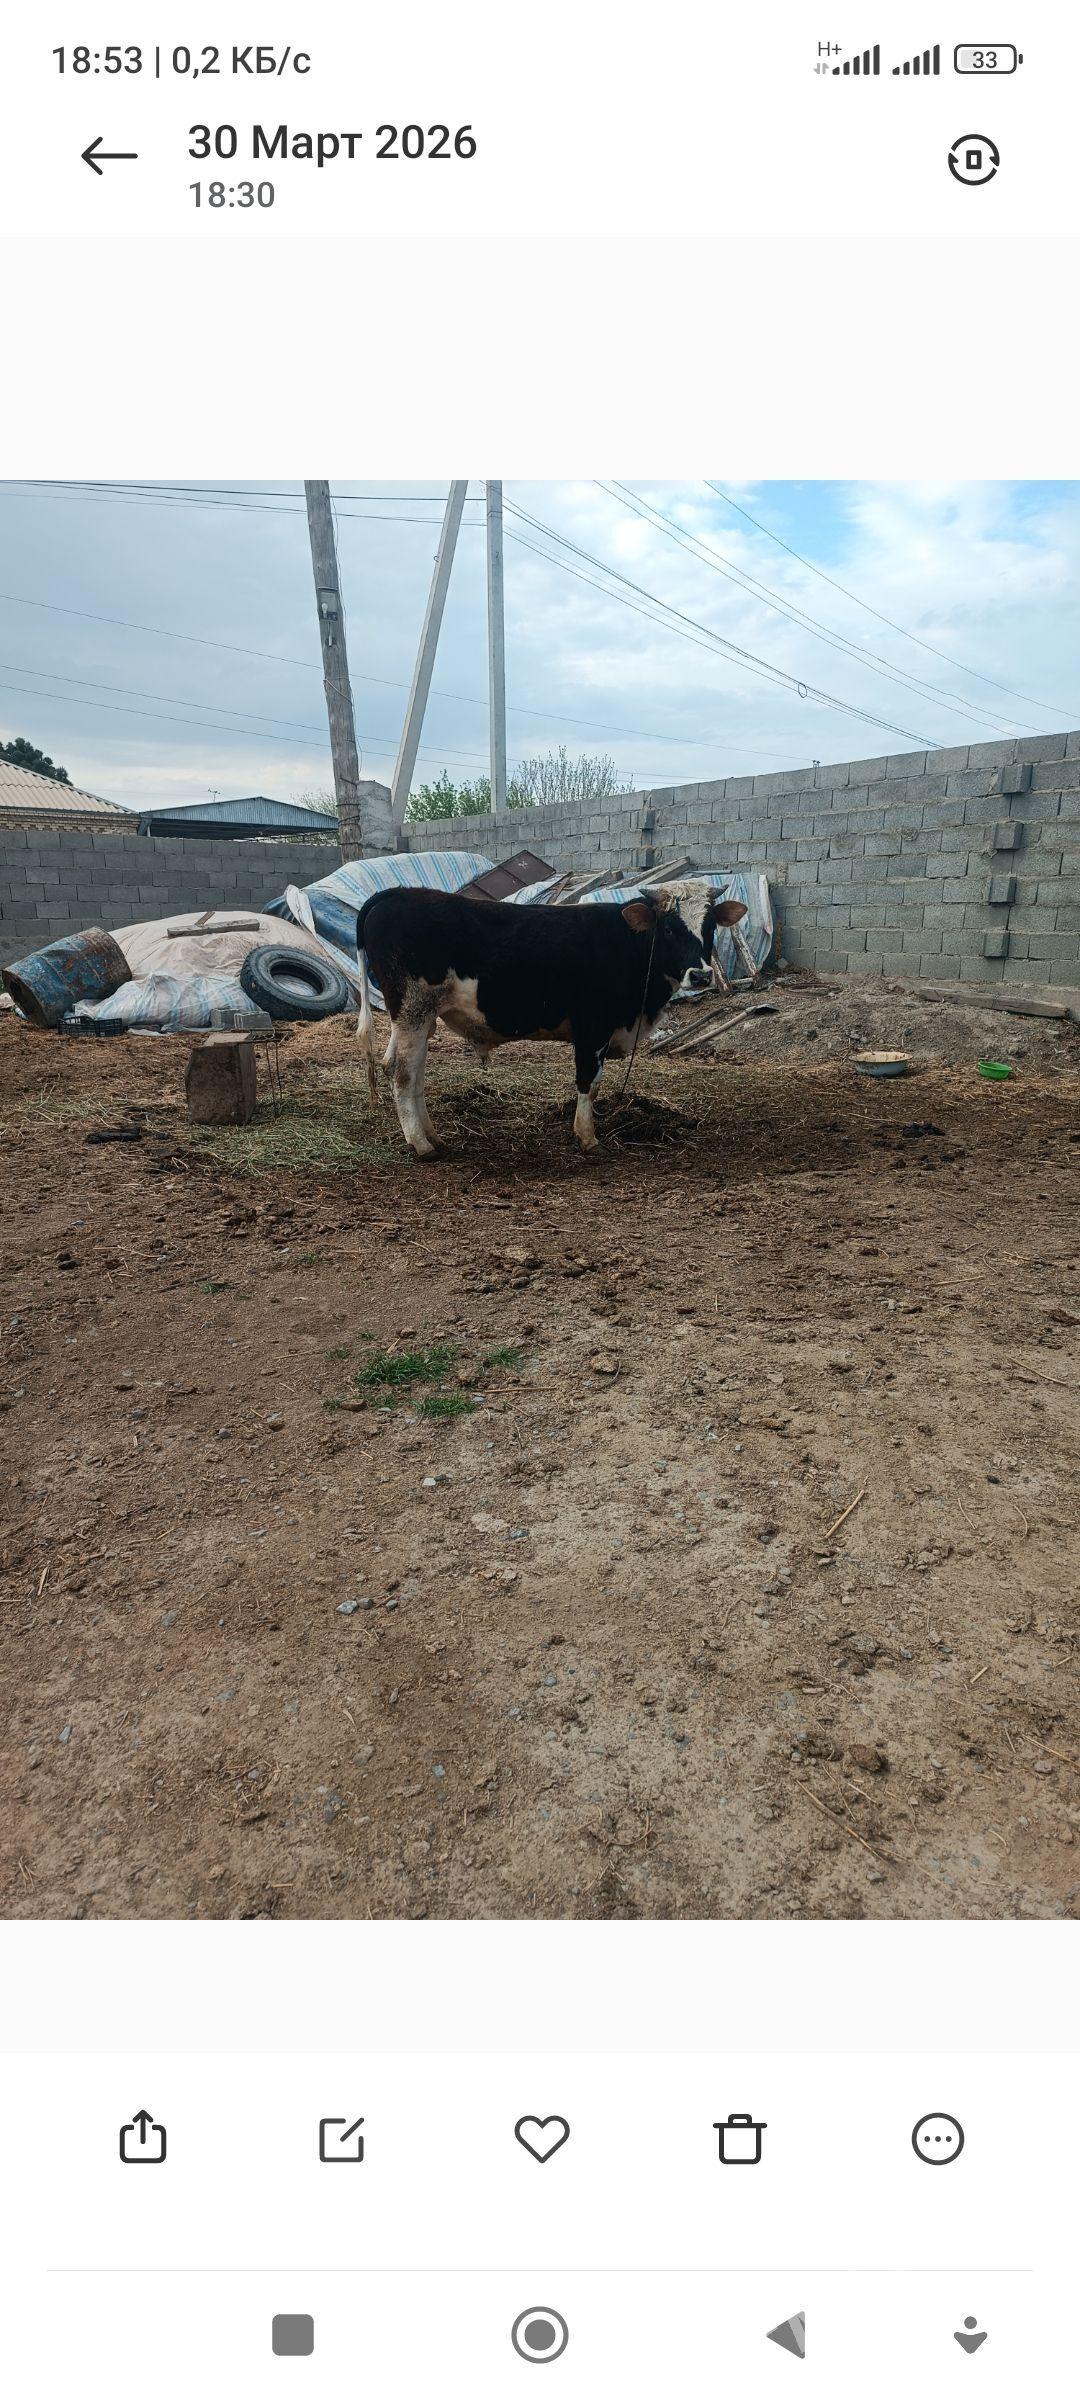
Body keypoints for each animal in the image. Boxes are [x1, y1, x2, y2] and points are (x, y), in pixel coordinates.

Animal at [354, 880, 748, 1158]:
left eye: (710, 926)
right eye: (668, 928)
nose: (701, 975)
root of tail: (396, 894)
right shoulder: (592, 1027)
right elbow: (588, 1081)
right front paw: (588, 1137)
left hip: (418, 1017)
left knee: (408, 1070)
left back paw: (433, 1136)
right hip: (413, 1010)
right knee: (403, 1073)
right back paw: (421, 1145)